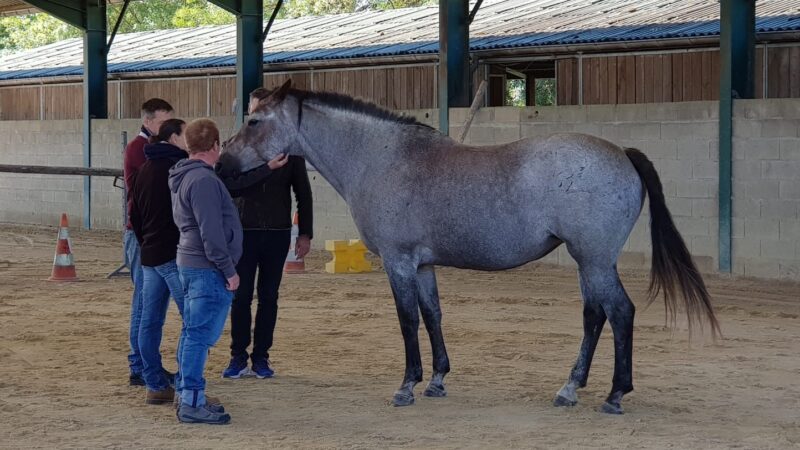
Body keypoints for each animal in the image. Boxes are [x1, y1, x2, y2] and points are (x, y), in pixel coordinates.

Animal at [216, 80, 720, 414]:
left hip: (594, 260)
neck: (382, 158)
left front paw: (406, 386)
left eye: (254, 120)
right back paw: (572, 389)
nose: (222, 165)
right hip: (588, 263)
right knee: (596, 317)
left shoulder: (399, 263)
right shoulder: (422, 266)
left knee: (619, 313)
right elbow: (432, 316)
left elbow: (407, 322)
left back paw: (612, 394)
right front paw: (437, 380)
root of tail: (623, 154)